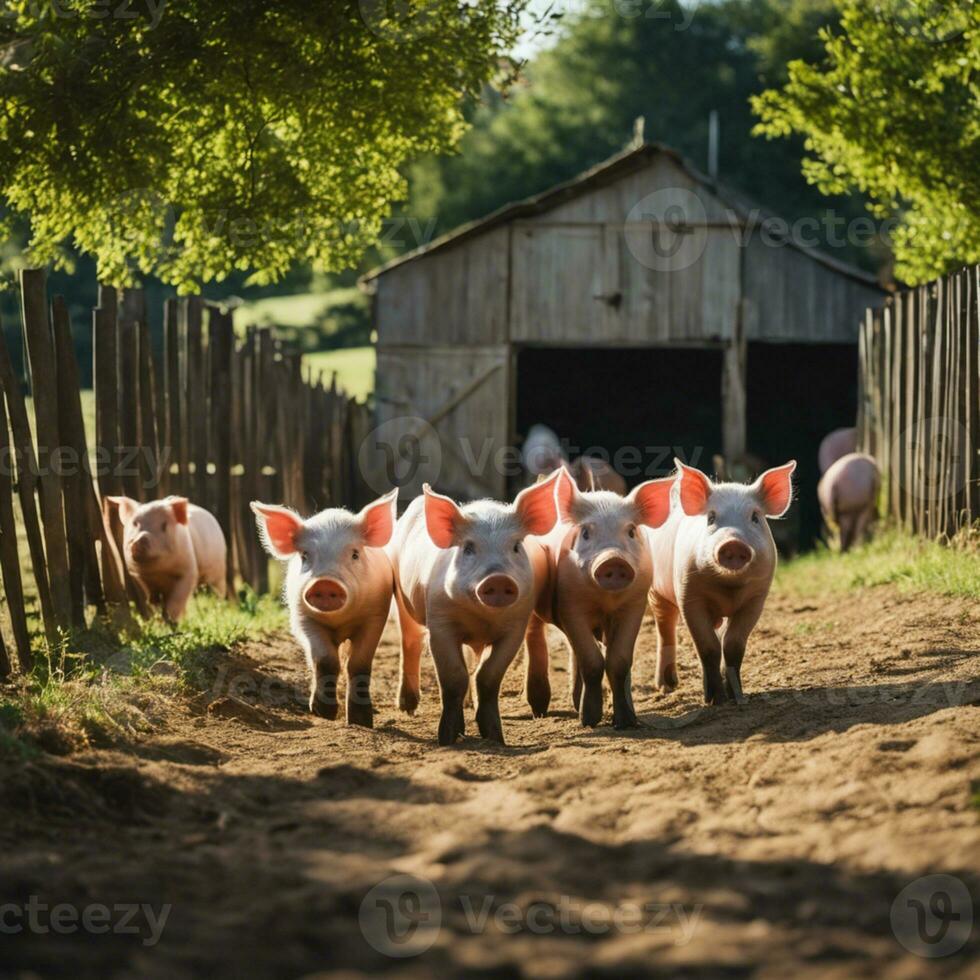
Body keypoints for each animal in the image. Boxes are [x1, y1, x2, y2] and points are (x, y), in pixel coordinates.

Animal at [106, 494, 227, 624]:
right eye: (135, 524)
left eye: (164, 526)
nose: (141, 539)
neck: (159, 573)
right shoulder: (138, 575)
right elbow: (153, 599)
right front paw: (160, 618)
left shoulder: (189, 571)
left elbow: (176, 600)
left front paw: (170, 621)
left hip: (219, 572)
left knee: (218, 592)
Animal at [253, 494, 398, 724]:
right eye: (305, 556)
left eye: (355, 554)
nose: (325, 583)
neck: (338, 620)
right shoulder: (302, 618)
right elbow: (325, 660)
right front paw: (324, 713)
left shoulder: (375, 617)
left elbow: (358, 663)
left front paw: (361, 721)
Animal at [388, 472, 564, 744]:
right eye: (468, 548)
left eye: (516, 546)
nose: (498, 579)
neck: (482, 619)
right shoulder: (439, 624)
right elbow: (454, 677)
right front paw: (448, 738)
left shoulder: (514, 627)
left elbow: (488, 676)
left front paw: (495, 737)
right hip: (401, 595)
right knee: (410, 641)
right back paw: (408, 707)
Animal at [524, 468, 676, 728]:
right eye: (586, 533)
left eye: (631, 531)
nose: (613, 560)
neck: (605, 600)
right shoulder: (570, 604)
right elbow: (592, 660)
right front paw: (589, 721)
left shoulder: (634, 605)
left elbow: (619, 660)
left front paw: (625, 722)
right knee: (535, 636)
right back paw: (539, 711)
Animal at [652, 458, 796, 704]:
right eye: (711, 518)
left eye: (755, 517)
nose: (733, 543)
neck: (729, 588)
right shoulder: (689, 595)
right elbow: (708, 646)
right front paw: (715, 701)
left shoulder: (756, 599)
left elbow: (733, 645)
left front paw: (737, 697)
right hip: (656, 590)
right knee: (665, 628)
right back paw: (666, 686)